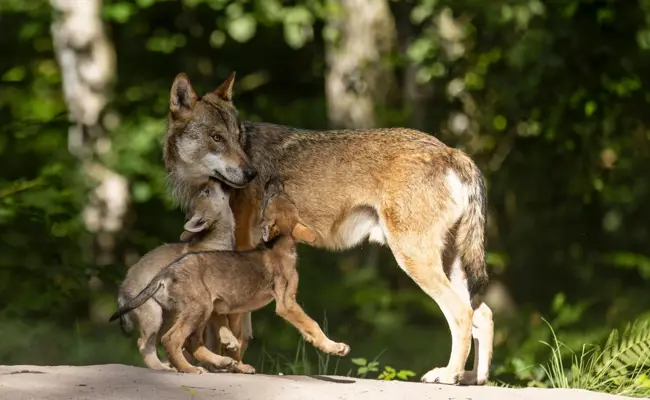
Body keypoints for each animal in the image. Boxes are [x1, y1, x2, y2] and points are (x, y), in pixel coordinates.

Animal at [163, 73, 494, 385]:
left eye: (236, 138)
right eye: (217, 137)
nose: (251, 174)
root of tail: (452, 152)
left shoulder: (242, 252)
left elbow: (233, 327)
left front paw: (231, 366)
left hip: (414, 260)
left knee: (462, 313)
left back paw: (449, 375)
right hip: (449, 265)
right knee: (484, 314)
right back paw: (473, 378)